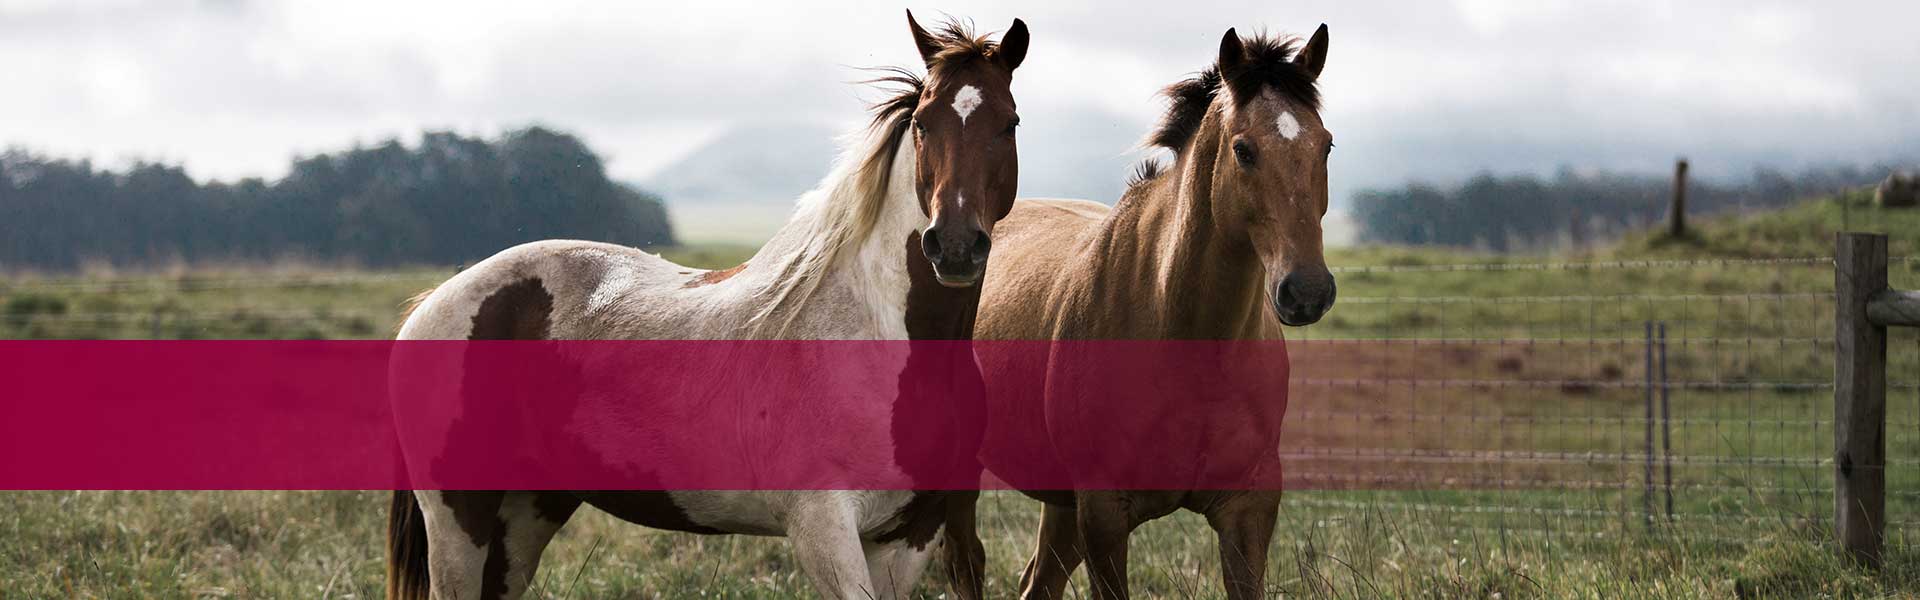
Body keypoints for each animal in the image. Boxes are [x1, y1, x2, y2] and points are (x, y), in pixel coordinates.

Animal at [383, 12, 1026, 600]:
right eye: (922, 122)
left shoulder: (908, 535)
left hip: (525, 515)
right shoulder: (823, 526)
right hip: (459, 519)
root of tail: (432, 304)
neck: (887, 342)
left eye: (1010, 123)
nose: (955, 245)